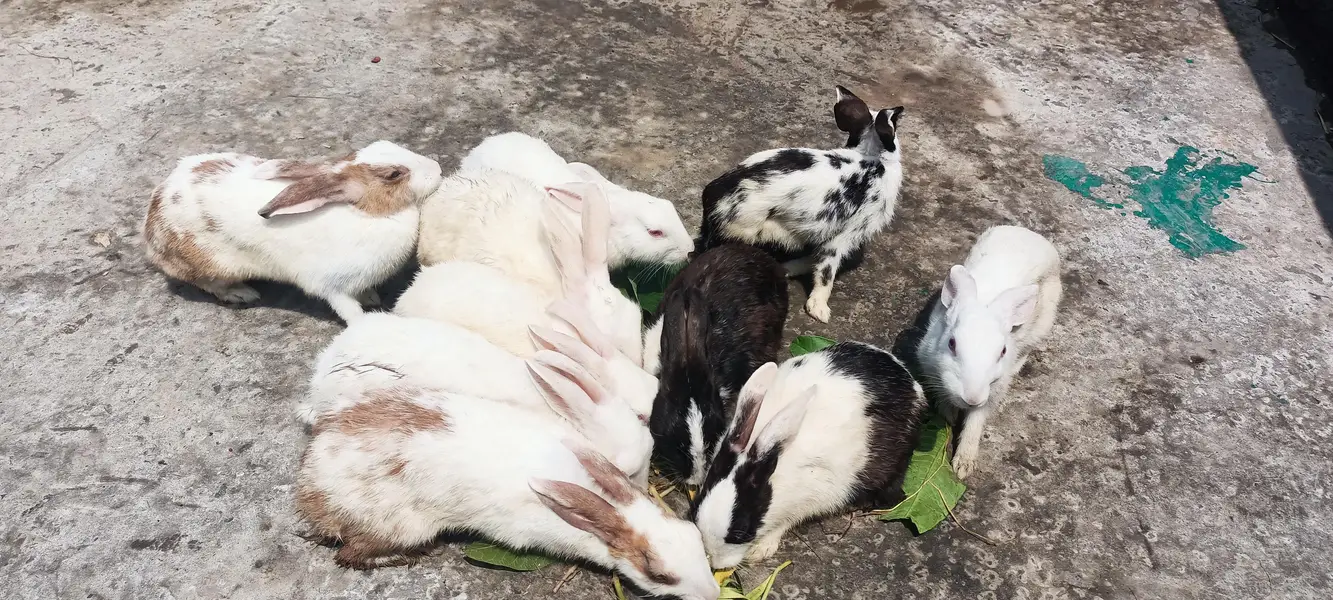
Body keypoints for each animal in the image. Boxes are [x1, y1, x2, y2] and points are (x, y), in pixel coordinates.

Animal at [143, 141, 443, 323]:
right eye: (394, 174)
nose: (438, 169)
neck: (370, 213)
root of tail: (153, 215)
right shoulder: (332, 287)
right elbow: (349, 311)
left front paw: (370, 297)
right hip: (212, 265)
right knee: (209, 283)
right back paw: (242, 294)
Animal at [295, 384, 720, 600]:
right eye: (659, 575)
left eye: (694, 537)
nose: (714, 593)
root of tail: (311, 491)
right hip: (400, 525)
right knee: (351, 554)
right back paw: (409, 557)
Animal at [690, 342, 926, 569]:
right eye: (695, 509)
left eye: (742, 530)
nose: (715, 563)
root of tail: (909, 380)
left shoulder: (814, 497)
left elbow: (785, 523)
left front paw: (760, 550)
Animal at [697, 86, 904, 323]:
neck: (872, 157)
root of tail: (714, 199)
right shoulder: (842, 237)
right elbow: (826, 273)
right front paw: (820, 311)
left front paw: (789, 269)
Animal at [915, 225, 1062, 480]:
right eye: (951, 343)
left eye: (1002, 351)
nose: (972, 398)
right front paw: (949, 417)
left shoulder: (993, 392)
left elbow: (975, 423)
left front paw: (963, 466)